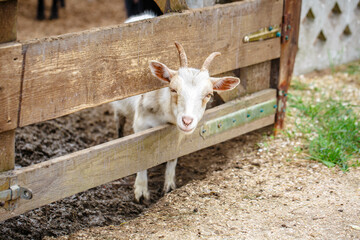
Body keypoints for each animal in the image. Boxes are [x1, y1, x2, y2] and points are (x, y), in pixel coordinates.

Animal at [111, 15, 240, 202]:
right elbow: (141, 157)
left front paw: (169, 187)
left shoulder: (176, 132)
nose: (187, 121)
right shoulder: (141, 125)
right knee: (119, 122)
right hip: (119, 106)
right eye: (173, 89)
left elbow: (172, 156)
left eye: (208, 94)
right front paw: (141, 191)